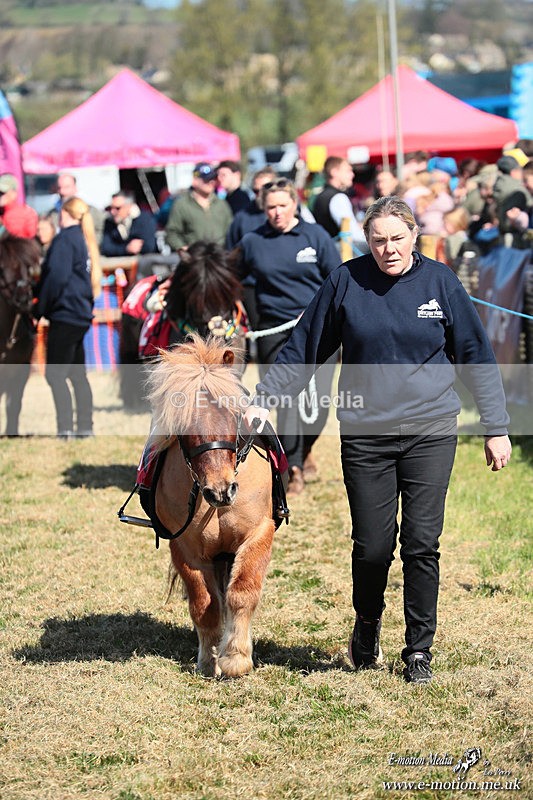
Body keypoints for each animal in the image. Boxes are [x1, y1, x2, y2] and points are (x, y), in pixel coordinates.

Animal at [144, 334, 275, 678]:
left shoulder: (258, 534)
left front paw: (236, 658)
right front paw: (208, 659)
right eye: (184, 423)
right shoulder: (185, 548)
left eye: (231, 413)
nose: (221, 490)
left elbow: (242, 592)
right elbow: (204, 604)